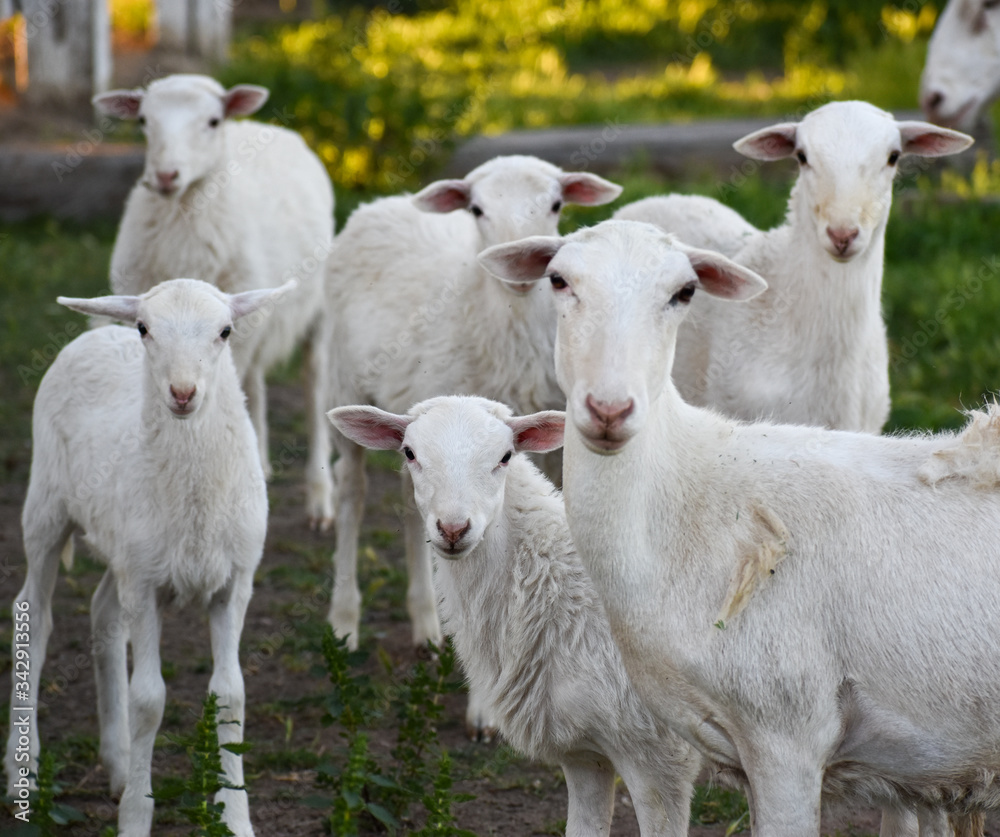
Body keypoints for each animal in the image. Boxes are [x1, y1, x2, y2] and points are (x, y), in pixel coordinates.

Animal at [4, 278, 288, 837]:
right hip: (46, 506)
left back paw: (116, 762)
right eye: (145, 328)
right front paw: (136, 816)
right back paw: (22, 769)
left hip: (127, 548)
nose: (182, 393)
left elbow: (230, 694)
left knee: (103, 615)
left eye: (226, 331)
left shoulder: (233, 582)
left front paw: (236, 817)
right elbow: (149, 700)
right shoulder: (145, 585)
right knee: (34, 615)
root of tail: (97, 333)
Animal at [92, 74, 335, 489]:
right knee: (253, 380)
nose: (165, 176)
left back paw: (319, 490)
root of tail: (263, 125)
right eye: (143, 121)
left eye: (213, 121)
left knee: (314, 383)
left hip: (315, 314)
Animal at [317, 155, 621, 659]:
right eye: (476, 209)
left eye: (557, 204)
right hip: (346, 378)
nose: (518, 268)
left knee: (408, 503)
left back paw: (426, 621)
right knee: (352, 494)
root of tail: (385, 200)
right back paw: (344, 619)